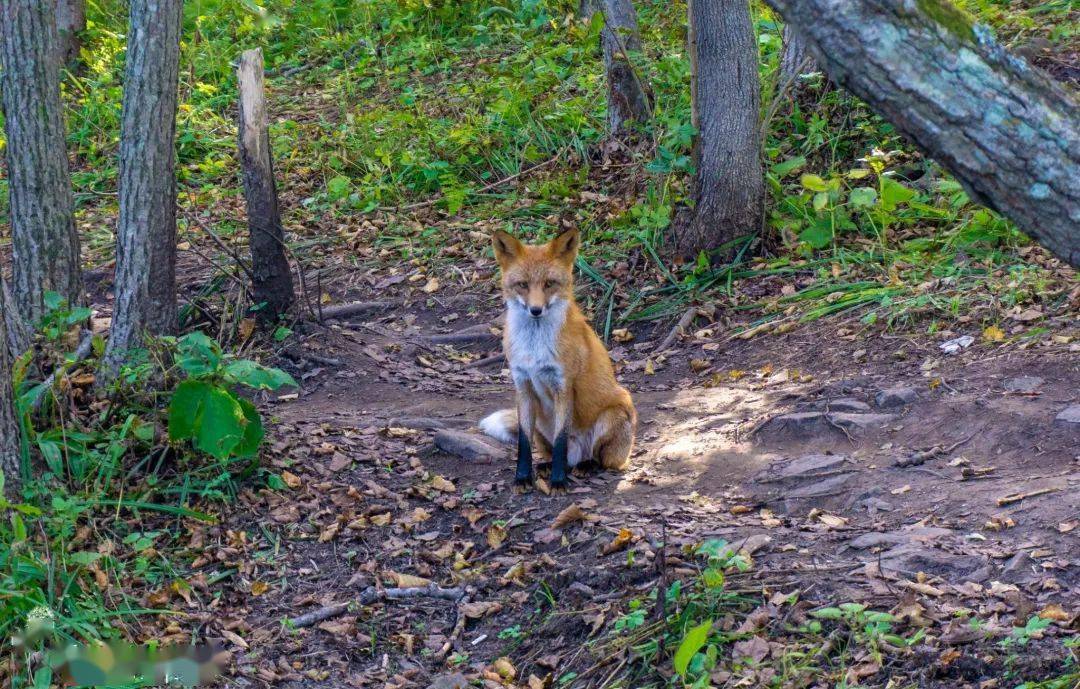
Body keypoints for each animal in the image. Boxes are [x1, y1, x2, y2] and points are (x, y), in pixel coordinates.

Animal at [477, 231, 635, 492]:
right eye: (522, 285)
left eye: (549, 283)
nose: (536, 310)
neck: (535, 348)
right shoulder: (523, 386)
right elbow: (523, 442)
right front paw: (522, 478)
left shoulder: (564, 386)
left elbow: (561, 439)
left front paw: (558, 482)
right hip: (540, 424)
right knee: (556, 454)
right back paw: (547, 466)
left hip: (614, 415)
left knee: (601, 460)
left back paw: (585, 466)